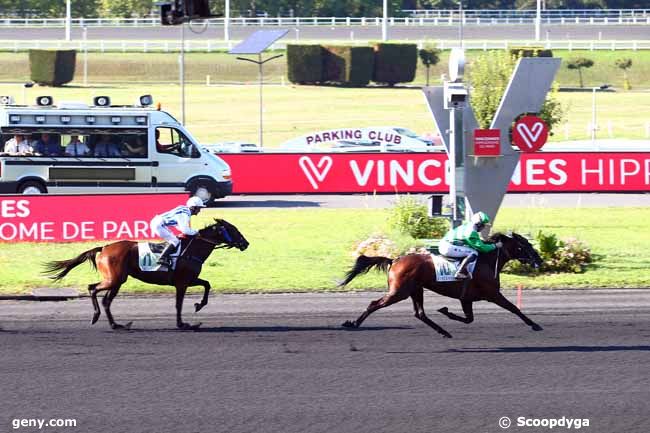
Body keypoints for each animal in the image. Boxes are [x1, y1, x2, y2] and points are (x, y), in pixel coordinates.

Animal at [42, 218, 246, 330]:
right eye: (234, 230)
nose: (246, 243)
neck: (192, 249)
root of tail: (105, 247)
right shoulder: (182, 282)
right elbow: (179, 304)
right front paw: (184, 324)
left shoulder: (190, 279)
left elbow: (207, 284)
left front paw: (199, 305)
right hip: (115, 279)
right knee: (93, 289)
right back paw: (96, 317)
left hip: (116, 281)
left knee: (105, 299)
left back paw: (117, 325)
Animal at [336, 233, 544, 338]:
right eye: (525, 245)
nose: (539, 260)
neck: (487, 260)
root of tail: (394, 260)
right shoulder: (493, 294)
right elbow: (514, 308)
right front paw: (535, 324)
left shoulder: (466, 298)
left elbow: (469, 319)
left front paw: (445, 311)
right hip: (399, 291)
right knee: (374, 304)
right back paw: (353, 323)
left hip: (416, 289)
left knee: (420, 313)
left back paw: (444, 332)